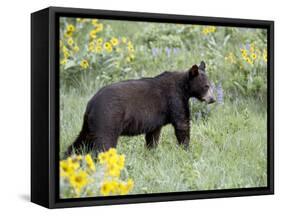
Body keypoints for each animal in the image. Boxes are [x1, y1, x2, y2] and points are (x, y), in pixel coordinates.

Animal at [64, 60, 214, 157]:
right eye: (206, 86)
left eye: (211, 85)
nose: (213, 99)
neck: (184, 88)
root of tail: (91, 104)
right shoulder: (174, 99)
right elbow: (182, 123)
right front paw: (186, 149)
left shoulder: (156, 118)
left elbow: (153, 135)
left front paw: (151, 152)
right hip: (108, 118)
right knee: (104, 143)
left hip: (90, 123)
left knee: (81, 140)